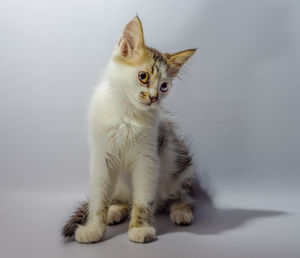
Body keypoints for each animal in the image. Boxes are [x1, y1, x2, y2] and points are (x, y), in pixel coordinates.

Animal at [61, 16, 199, 244]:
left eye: (164, 86)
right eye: (143, 77)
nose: (154, 98)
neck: (127, 113)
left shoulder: (148, 158)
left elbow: (143, 199)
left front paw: (140, 228)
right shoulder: (102, 158)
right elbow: (99, 199)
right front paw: (93, 228)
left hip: (183, 167)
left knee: (182, 196)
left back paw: (181, 212)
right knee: (122, 199)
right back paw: (115, 211)